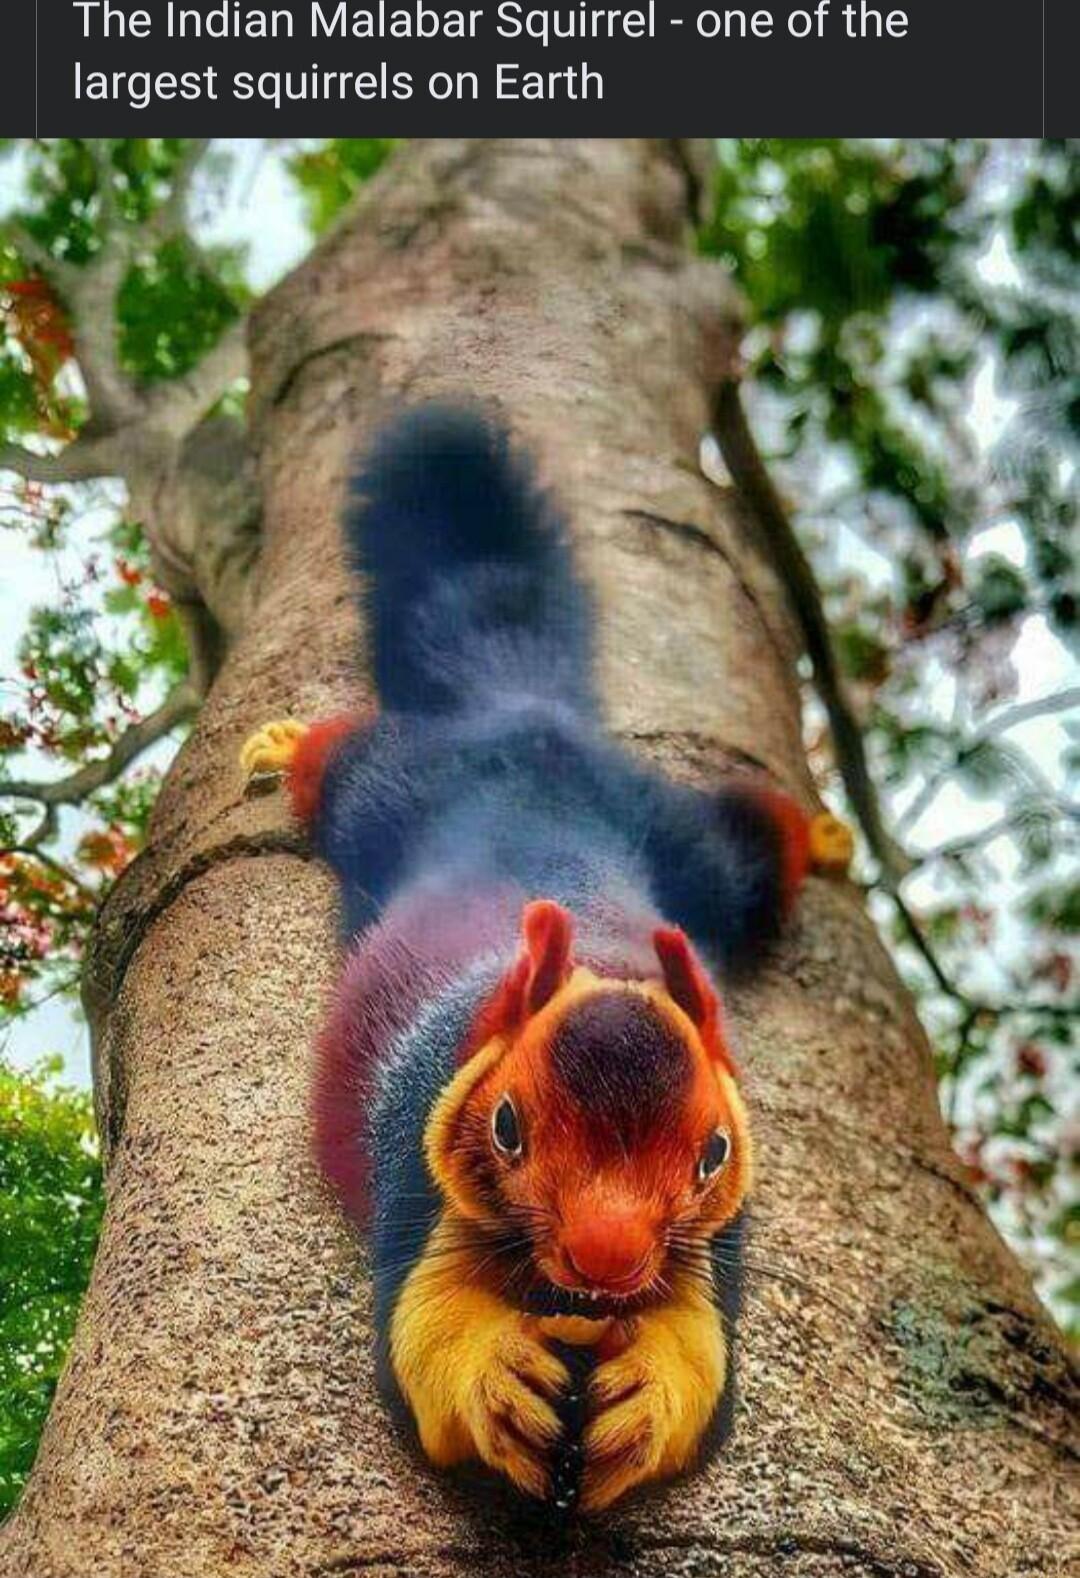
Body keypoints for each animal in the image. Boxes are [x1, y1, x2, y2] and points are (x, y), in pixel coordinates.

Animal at [240, 403, 853, 1512]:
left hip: (686, 844)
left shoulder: (721, 1234)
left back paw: (819, 836)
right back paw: (291, 745)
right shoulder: (417, 1142)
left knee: (749, 845)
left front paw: (646, 1392)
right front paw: (497, 1378)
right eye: (509, 1127)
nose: (607, 1260)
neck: (608, 969)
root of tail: (530, 725)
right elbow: (419, 1328)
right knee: (348, 766)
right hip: (398, 789)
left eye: (715, 1151)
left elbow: (703, 1353)